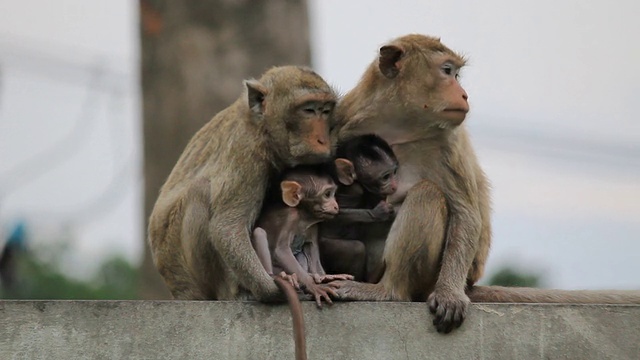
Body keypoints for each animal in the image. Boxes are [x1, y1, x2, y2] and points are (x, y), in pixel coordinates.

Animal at [148, 64, 338, 300]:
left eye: (325, 110)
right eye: (309, 110)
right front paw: (271, 288)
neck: (261, 127)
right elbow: (226, 228)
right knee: (200, 191)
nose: (323, 140)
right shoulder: (247, 152)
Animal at [251, 165, 356, 308]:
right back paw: (279, 276)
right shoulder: (290, 217)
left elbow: (311, 246)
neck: (303, 215)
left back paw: (314, 275)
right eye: (327, 194)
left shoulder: (313, 225)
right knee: (259, 232)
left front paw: (324, 276)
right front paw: (313, 286)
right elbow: (281, 250)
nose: (336, 206)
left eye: (333, 193)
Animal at [320, 134, 400, 282]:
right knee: (356, 249)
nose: (394, 185)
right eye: (386, 177)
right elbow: (332, 215)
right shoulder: (355, 190)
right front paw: (379, 213)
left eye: (394, 172)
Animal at [330, 35, 640, 334]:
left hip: (429, 277)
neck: (400, 125)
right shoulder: (346, 119)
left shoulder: (448, 143)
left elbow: (466, 214)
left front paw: (449, 295)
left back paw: (391, 291)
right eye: (447, 71)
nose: (464, 94)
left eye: (456, 73)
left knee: (427, 194)